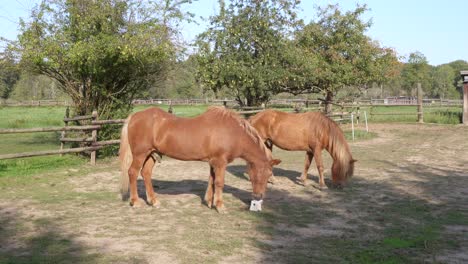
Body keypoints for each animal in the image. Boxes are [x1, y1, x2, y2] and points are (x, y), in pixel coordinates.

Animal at [119, 106, 282, 211]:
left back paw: (153, 201)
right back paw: (135, 201)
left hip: (152, 154)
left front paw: (209, 202)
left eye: (269, 175)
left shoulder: (213, 162)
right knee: (132, 172)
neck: (233, 132)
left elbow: (211, 181)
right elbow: (219, 182)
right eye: (259, 174)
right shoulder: (220, 162)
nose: (258, 197)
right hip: (140, 154)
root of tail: (134, 116)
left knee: (146, 173)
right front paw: (220, 205)